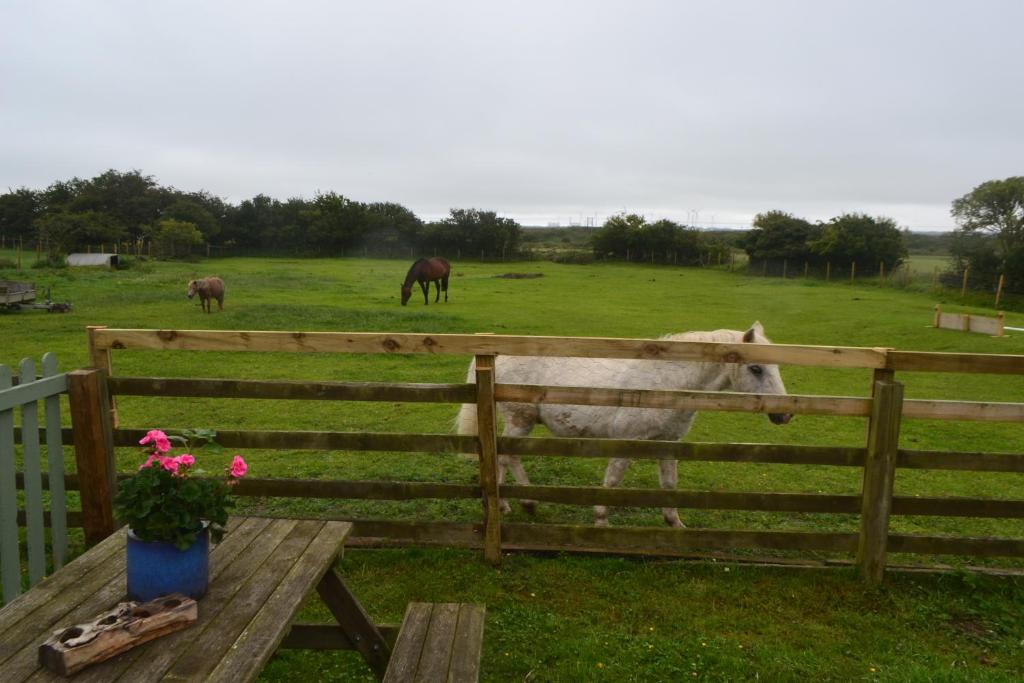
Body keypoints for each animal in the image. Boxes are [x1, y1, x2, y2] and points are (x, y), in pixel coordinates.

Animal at [456, 322, 793, 527]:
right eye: (756, 368)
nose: (784, 415)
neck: (664, 384)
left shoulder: (667, 444)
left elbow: (669, 485)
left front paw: (675, 523)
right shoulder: (626, 442)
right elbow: (612, 483)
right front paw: (602, 520)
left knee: (508, 456)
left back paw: (518, 504)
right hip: (520, 419)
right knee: (505, 457)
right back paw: (515, 505)